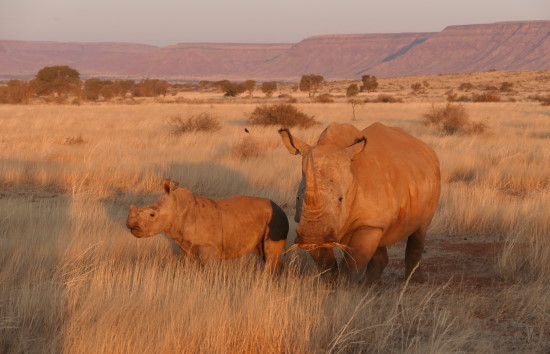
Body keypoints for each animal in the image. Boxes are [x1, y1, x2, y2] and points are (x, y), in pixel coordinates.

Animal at [125, 180, 288, 272]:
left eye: (152, 215)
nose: (130, 225)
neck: (178, 207)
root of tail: (281, 209)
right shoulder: (186, 246)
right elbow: (191, 267)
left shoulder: (208, 247)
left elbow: (210, 271)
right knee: (267, 255)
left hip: (276, 219)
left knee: (270, 255)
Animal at [282, 123, 442, 284]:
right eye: (297, 198)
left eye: (340, 199)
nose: (313, 237)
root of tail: (427, 150)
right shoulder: (312, 225)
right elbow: (325, 262)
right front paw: (330, 285)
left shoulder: (367, 224)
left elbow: (353, 263)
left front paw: (344, 288)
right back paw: (370, 285)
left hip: (432, 180)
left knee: (420, 230)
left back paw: (413, 282)